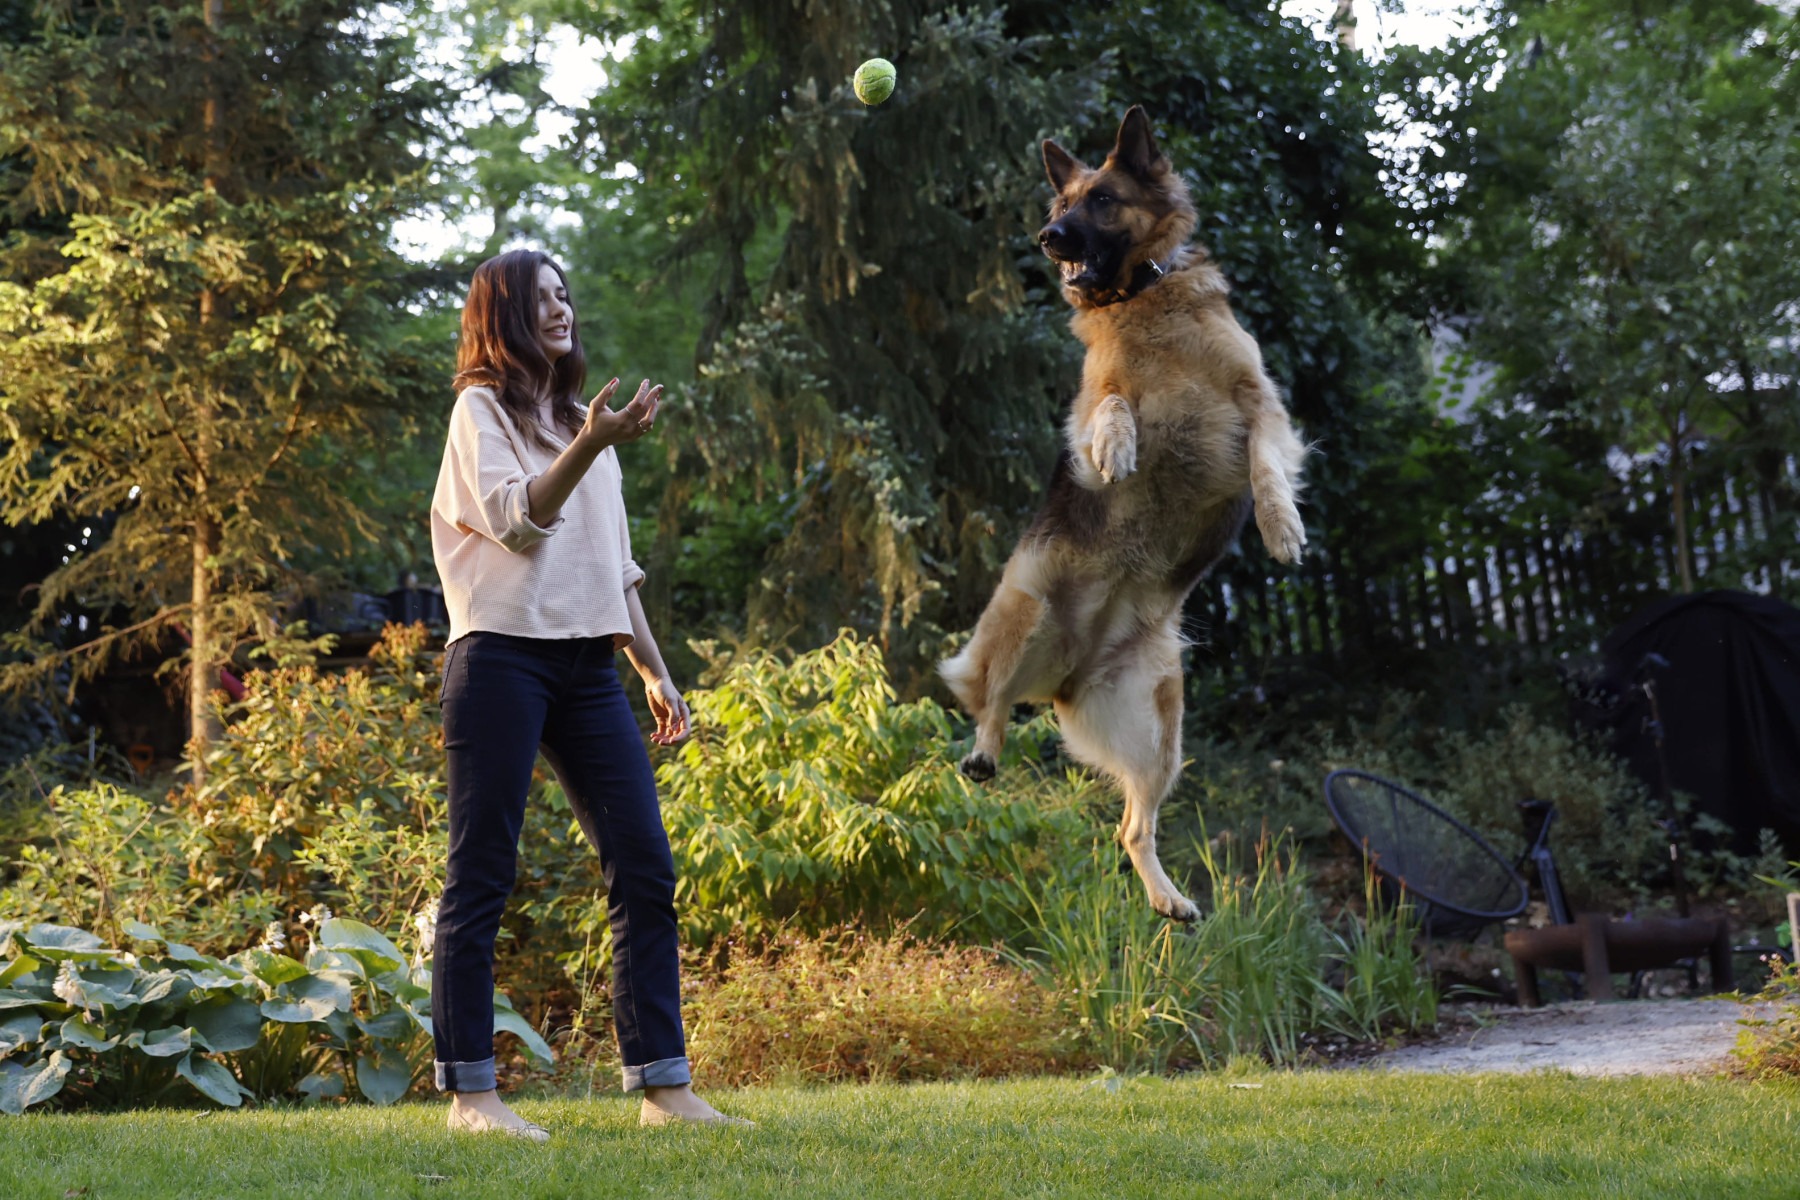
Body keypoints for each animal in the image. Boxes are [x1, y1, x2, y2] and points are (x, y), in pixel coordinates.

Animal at [936, 107, 1303, 928]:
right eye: (1057, 205)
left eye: (1102, 201)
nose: (1048, 239)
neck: (1143, 298)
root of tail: (1068, 676)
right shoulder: (1087, 399)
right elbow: (1109, 404)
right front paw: (1117, 446)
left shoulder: (1259, 402)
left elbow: (1267, 464)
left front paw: (1281, 526)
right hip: (1026, 607)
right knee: (990, 697)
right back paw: (984, 750)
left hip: (1162, 727)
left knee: (1134, 827)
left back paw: (1168, 899)